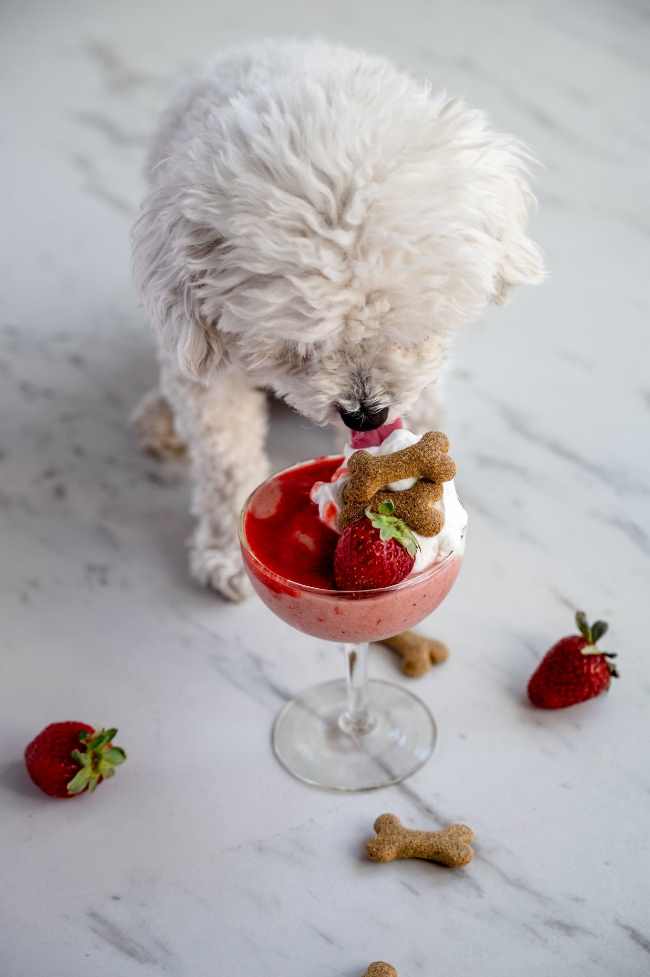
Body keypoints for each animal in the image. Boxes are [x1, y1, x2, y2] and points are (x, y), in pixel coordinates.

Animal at [130, 38, 540, 600]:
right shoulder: (211, 360)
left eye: (409, 332)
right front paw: (228, 553)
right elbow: (226, 458)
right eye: (296, 349)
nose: (365, 416)